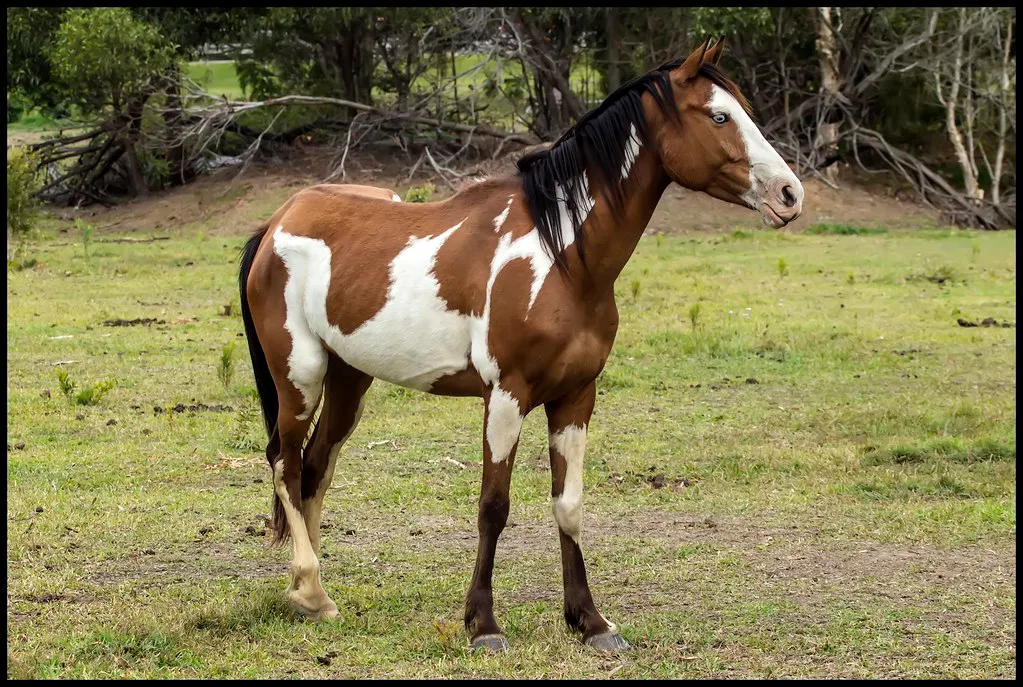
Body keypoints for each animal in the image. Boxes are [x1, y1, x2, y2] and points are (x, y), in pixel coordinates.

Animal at [237, 37, 804, 653]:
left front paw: (590, 621)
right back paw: (310, 587)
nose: (789, 194)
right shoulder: (506, 396)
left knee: (316, 467)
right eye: (719, 116)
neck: (561, 256)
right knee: (285, 463)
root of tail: (275, 224)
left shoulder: (576, 397)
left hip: (349, 380)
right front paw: (483, 624)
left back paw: (309, 594)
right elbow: (494, 506)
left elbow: (569, 505)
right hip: (300, 376)